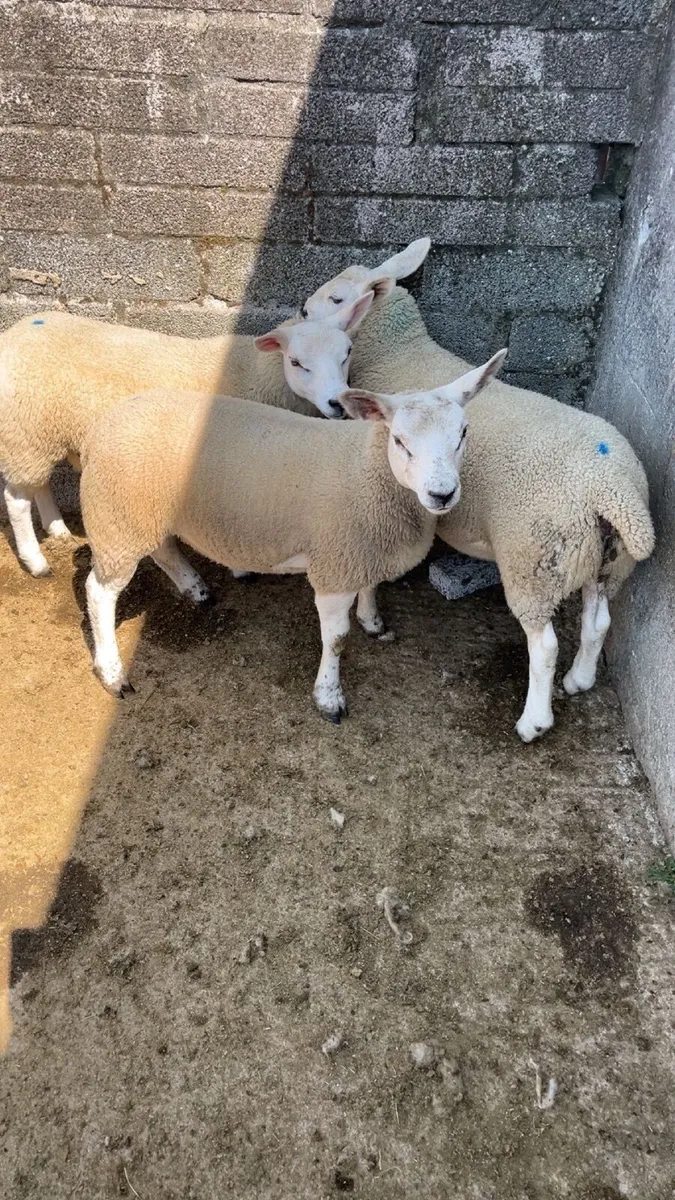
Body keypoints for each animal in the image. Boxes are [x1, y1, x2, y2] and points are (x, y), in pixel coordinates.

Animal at [0, 292, 374, 579]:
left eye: (347, 353)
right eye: (297, 362)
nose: (337, 402)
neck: (255, 370)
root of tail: (14, 332)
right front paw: (239, 568)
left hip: (40, 435)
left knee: (38, 484)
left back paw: (58, 530)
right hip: (25, 431)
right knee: (16, 499)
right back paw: (37, 562)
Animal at [78, 350, 506, 719]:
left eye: (463, 433)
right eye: (400, 441)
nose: (442, 494)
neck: (368, 470)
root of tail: (105, 421)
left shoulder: (363, 550)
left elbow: (370, 589)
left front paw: (373, 622)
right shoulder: (335, 566)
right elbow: (336, 639)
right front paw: (329, 697)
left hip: (144, 512)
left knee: (164, 549)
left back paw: (195, 588)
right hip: (117, 517)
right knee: (99, 592)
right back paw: (113, 673)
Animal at [302, 277, 654, 742]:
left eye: (337, 297)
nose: (303, 313)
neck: (400, 351)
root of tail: (614, 490)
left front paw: (369, 617)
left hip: (533, 563)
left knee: (544, 646)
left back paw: (533, 722)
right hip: (604, 560)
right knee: (598, 622)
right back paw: (579, 680)